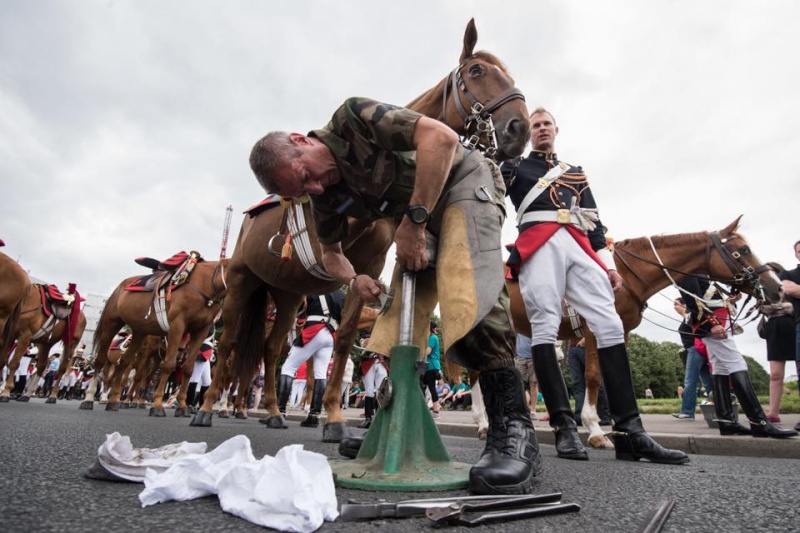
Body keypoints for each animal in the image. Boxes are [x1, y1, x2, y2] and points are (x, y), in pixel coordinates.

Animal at [82, 256, 225, 414]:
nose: (181, 350)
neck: (206, 283)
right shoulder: (176, 327)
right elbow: (160, 369)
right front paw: (153, 404)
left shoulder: (199, 331)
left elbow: (186, 369)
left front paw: (181, 406)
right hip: (111, 324)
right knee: (102, 363)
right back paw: (91, 398)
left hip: (139, 333)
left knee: (124, 363)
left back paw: (113, 400)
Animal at [191, 19, 532, 440]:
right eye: (477, 71)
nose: (520, 127)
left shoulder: (370, 265)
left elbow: (344, 339)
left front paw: (335, 418)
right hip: (242, 279)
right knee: (232, 343)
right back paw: (208, 407)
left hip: (287, 295)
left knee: (270, 350)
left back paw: (271, 410)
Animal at [456, 216, 780, 444]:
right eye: (743, 250)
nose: (775, 287)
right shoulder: (591, 329)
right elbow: (593, 375)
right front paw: (595, 428)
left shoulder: (619, 330)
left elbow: (613, 374)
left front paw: (622, 427)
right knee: (474, 374)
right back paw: (483, 423)